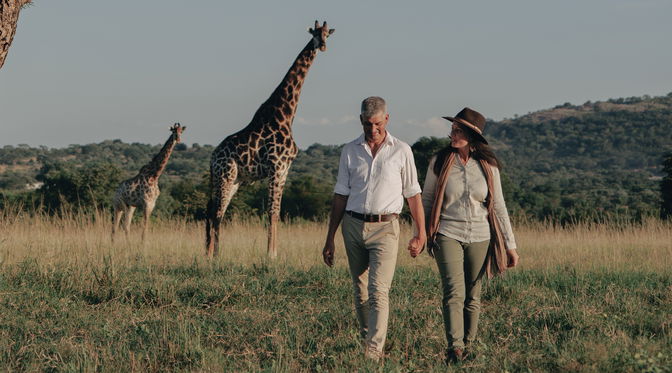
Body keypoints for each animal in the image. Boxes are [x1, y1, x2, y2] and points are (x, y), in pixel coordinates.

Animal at [203, 21, 332, 258]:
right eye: (315, 33)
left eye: (328, 33)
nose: (323, 45)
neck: (286, 114)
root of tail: (212, 159)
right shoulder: (276, 167)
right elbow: (271, 212)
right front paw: (270, 255)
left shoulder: (285, 170)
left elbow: (277, 212)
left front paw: (275, 253)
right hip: (226, 176)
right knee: (216, 212)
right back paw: (215, 255)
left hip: (232, 180)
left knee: (213, 211)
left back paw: (209, 253)